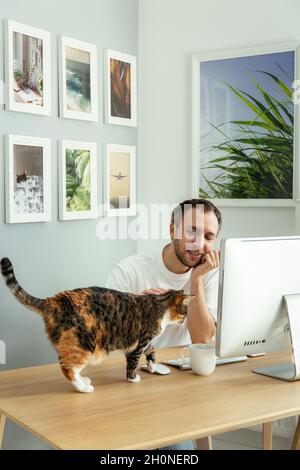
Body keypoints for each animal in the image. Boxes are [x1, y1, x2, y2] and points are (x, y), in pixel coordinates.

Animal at [0, 258, 195, 392]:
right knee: (67, 367)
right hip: (83, 343)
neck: (159, 305)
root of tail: (53, 301)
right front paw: (133, 378)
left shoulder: (140, 342)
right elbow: (133, 363)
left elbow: (152, 350)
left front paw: (152, 367)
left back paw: (84, 381)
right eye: (186, 311)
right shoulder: (138, 343)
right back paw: (84, 388)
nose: (186, 319)